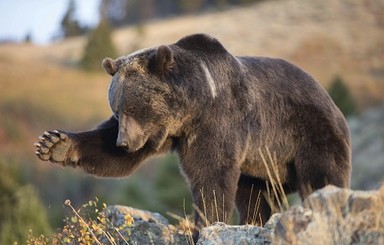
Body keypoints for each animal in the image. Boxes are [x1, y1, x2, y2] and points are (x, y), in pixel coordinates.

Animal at [35, 33, 352, 240]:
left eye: (134, 107)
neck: (191, 109)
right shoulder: (163, 133)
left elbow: (211, 176)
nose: (123, 143)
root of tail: (330, 99)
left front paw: (206, 225)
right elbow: (109, 152)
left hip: (308, 135)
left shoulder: (218, 122)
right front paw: (53, 144)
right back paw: (251, 222)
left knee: (323, 177)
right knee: (255, 196)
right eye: (117, 108)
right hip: (261, 165)